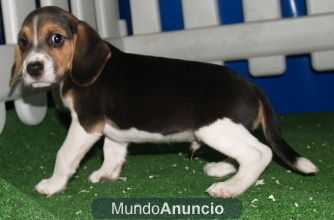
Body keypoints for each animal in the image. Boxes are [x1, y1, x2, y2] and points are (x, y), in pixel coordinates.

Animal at [9, 6, 318, 198]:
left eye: (56, 38)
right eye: (23, 42)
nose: (33, 68)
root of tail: (253, 86)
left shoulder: (85, 125)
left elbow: (64, 155)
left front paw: (52, 185)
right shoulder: (112, 130)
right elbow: (112, 152)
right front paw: (106, 174)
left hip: (216, 128)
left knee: (259, 153)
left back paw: (231, 187)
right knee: (242, 154)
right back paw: (222, 168)